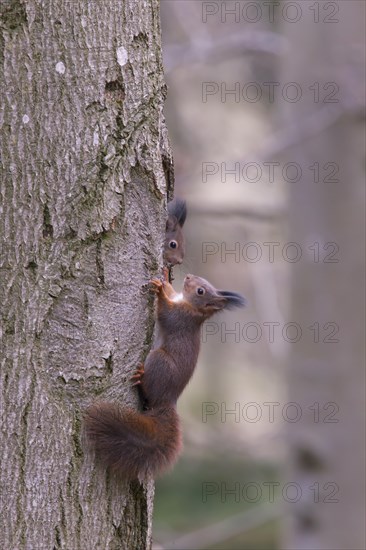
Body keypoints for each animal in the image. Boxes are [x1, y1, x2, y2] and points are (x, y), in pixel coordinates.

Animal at [84, 270, 246, 480]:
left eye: (201, 291)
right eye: (201, 283)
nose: (188, 276)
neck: (189, 305)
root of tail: (168, 399)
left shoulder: (180, 317)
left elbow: (165, 313)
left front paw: (160, 292)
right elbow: (170, 292)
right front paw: (165, 278)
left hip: (158, 360)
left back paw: (140, 377)